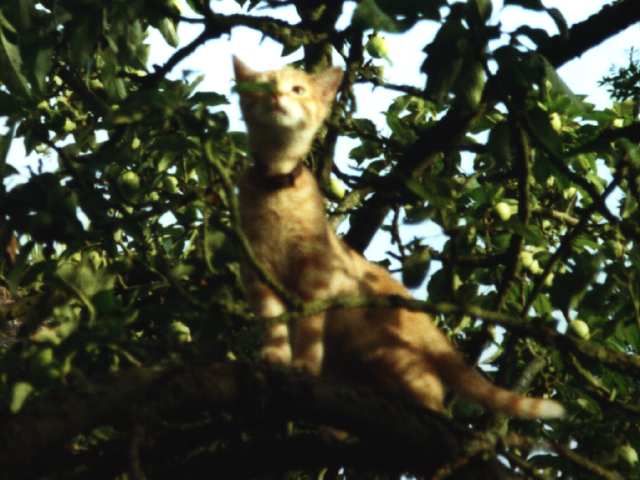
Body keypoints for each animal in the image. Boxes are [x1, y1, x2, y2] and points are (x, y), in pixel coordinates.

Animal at [232, 57, 564, 420]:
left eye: (298, 89)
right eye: (264, 85)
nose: (276, 96)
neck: (276, 185)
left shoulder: (318, 273)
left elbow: (308, 327)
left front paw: (304, 365)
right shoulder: (257, 273)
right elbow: (273, 323)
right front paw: (274, 358)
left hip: (393, 354)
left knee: (431, 391)